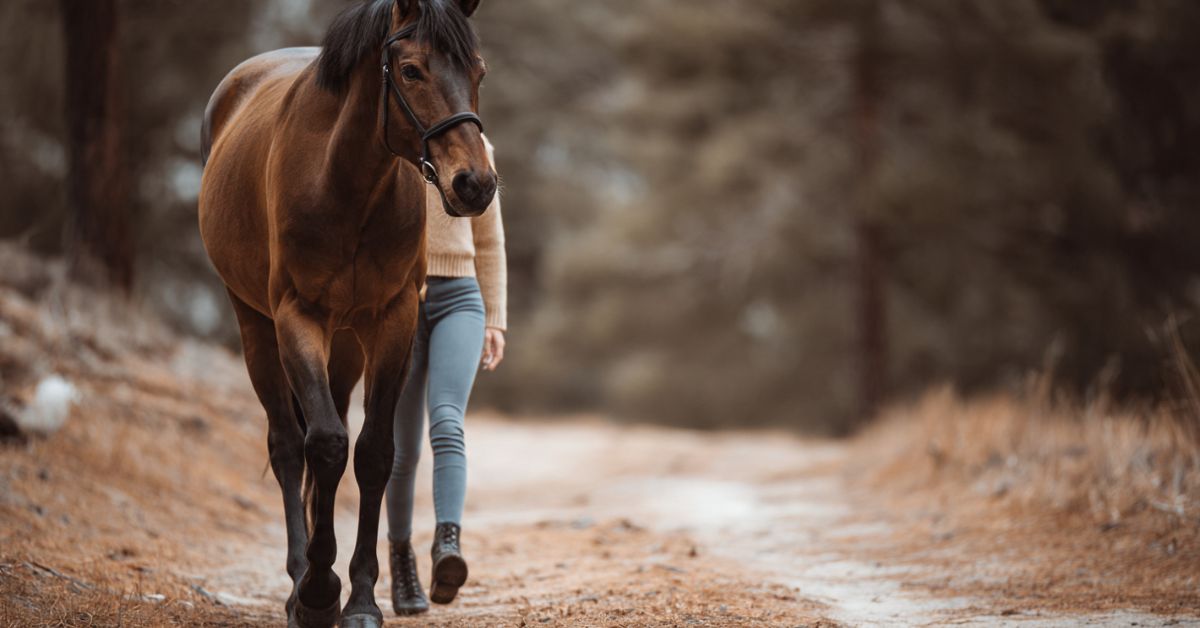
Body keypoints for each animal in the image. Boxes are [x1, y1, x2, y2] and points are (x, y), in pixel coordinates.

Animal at [197, 1, 495, 626]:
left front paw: (358, 598)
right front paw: (315, 593)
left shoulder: (392, 322)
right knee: (290, 446)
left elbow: (374, 453)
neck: (342, 181)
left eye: (478, 71)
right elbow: (326, 446)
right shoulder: (297, 317)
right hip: (256, 326)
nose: (474, 184)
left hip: (346, 346)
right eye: (410, 70)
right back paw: (297, 582)